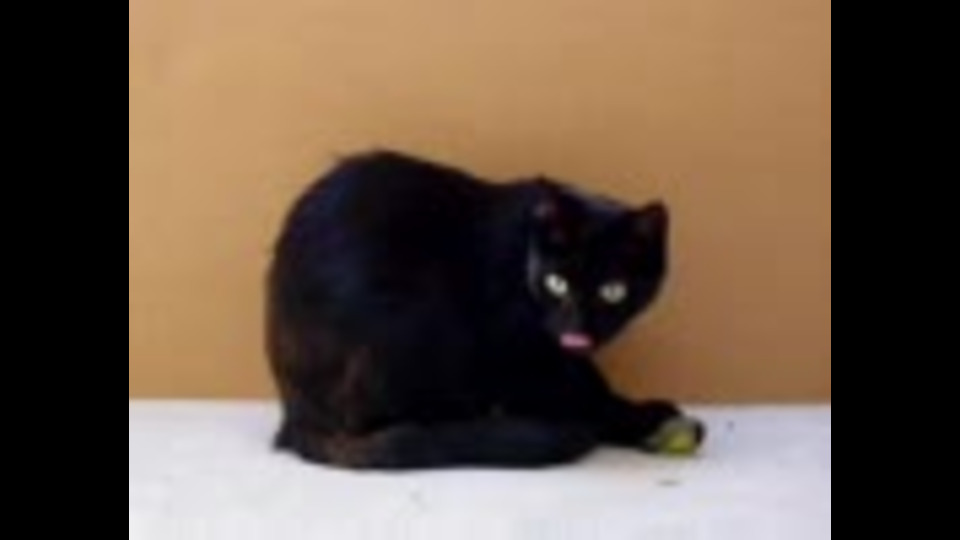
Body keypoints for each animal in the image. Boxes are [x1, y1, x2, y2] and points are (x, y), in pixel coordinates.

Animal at [267, 150, 705, 469]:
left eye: (613, 291)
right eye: (557, 283)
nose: (577, 331)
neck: (522, 253)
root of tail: (293, 413)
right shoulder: (509, 348)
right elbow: (581, 393)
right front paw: (642, 419)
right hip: (413, 322)